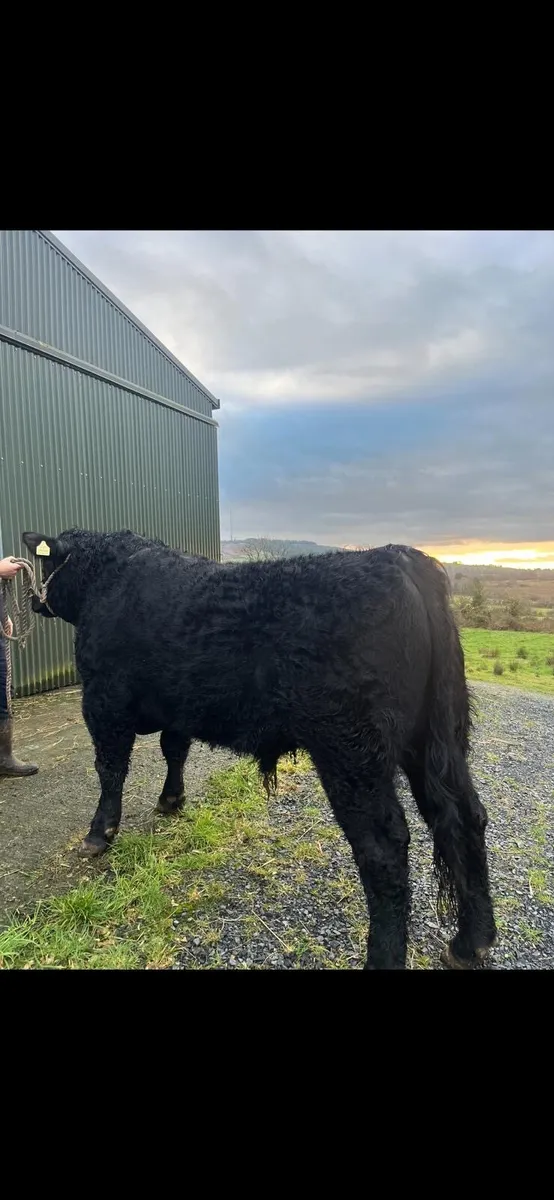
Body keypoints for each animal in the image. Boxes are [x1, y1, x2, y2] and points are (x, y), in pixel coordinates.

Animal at [22, 527, 496, 971]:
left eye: (46, 564)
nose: (32, 599)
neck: (109, 576)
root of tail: (397, 557)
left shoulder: (103, 700)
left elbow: (110, 768)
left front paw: (98, 833)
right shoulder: (178, 705)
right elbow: (174, 750)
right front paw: (171, 800)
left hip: (351, 749)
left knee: (384, 849)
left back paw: (384, 958)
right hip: (436, 739)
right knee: (462, 816)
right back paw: (471, 941)